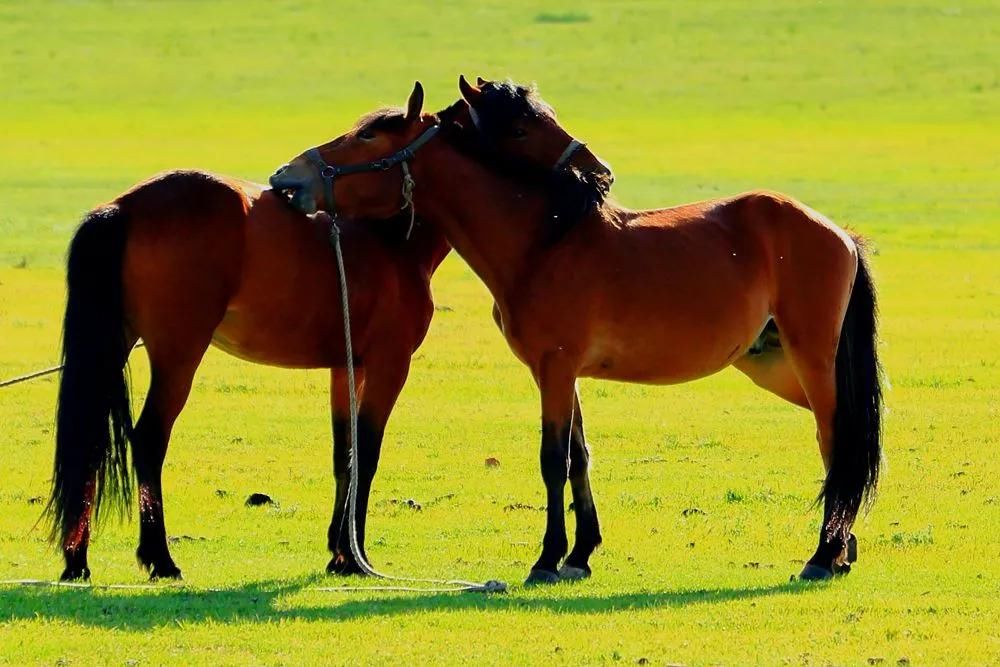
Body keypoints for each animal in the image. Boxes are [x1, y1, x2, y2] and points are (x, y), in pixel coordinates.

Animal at [47, 95, 608, 584]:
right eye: (525, 126)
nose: (597, 172)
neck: (388, 239)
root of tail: (126, 207)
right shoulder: (389, 365)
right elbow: (369, 451)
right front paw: (355, 557)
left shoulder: (346, 368)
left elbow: (346, 455)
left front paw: (339, 549)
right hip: (178, 355)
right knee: (148, 440)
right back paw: (160, 558)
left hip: (115, 345)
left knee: (92, 438)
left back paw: (78, 561)